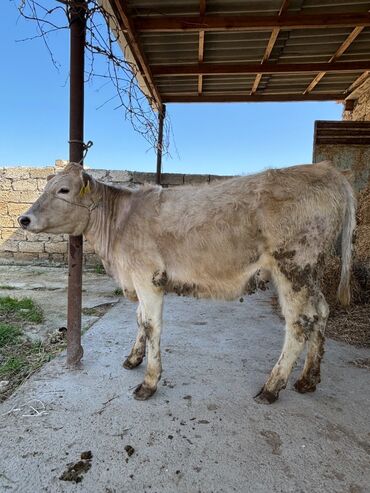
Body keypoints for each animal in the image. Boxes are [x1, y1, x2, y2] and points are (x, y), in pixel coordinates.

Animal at [19, 163, 356, 402]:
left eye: (63, 190)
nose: (24, 219)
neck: (118, 225)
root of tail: (326, 169)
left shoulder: (147, 276)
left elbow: (151, 324)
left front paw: (149, 382)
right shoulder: (138, 279)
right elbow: (139, 319)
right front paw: (133, 358)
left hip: (293, 266)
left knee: (299, 323)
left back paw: (273, 387)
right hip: (310, 271)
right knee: (321, 312)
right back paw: (308, 379)